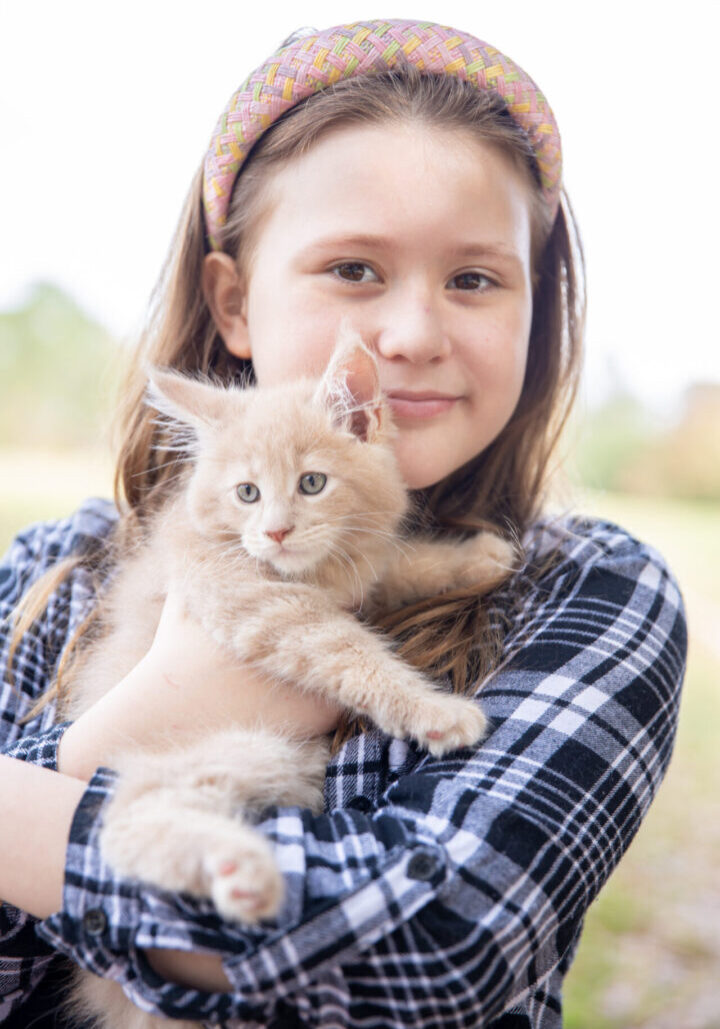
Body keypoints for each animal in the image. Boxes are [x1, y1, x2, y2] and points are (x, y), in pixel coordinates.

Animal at [60, 333, 512, 1024]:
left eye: (312, 483)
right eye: (246, 493)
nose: (275, 531)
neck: (308, 575)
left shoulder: (352, 571)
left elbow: (397, 565)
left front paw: (474, 558)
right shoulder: (254, 602)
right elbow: (346, 647)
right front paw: (432, 710)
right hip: (226, 747)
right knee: (121, 822)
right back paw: (241, 868)